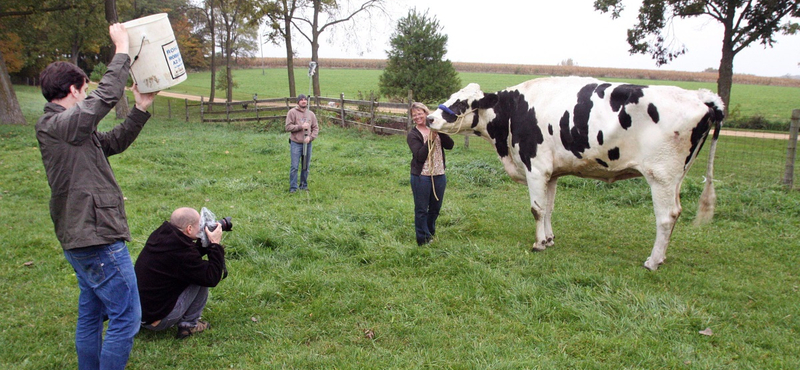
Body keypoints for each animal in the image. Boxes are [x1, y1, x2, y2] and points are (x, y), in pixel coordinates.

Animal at [432, 76, 724, 270]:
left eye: (461, 102)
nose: (432, 118)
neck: (513, 112)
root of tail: (700, 96)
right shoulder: (551, 172)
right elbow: (548, 209)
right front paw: (548, 239)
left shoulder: (535, 167)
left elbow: (536, 209)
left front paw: (538, 244)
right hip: (676, 177)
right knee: (675, 213)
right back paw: (661, 257)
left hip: (661, 175)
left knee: (666, 216)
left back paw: (652, 261)